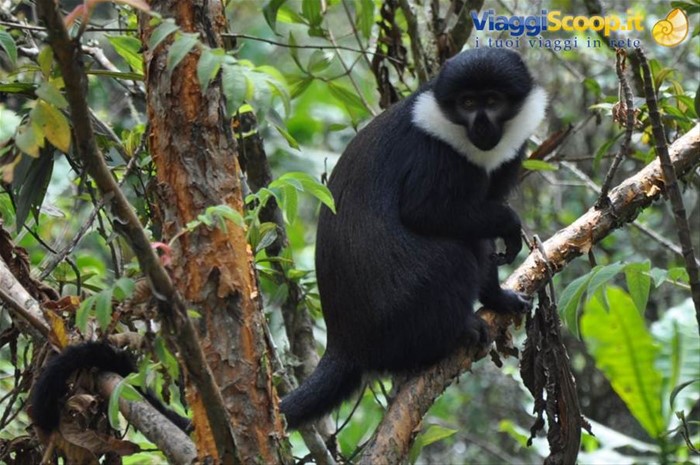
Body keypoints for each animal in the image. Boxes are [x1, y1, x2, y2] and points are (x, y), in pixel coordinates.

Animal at [280, 48, 547, 429]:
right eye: (467, 103)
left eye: (493, 101)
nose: (481, 126)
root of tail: (345, 341)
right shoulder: (435, 155)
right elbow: (425, 213)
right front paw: (509, 224)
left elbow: (481, 232)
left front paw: (498, 298)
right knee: (455, 257)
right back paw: (455, 333)